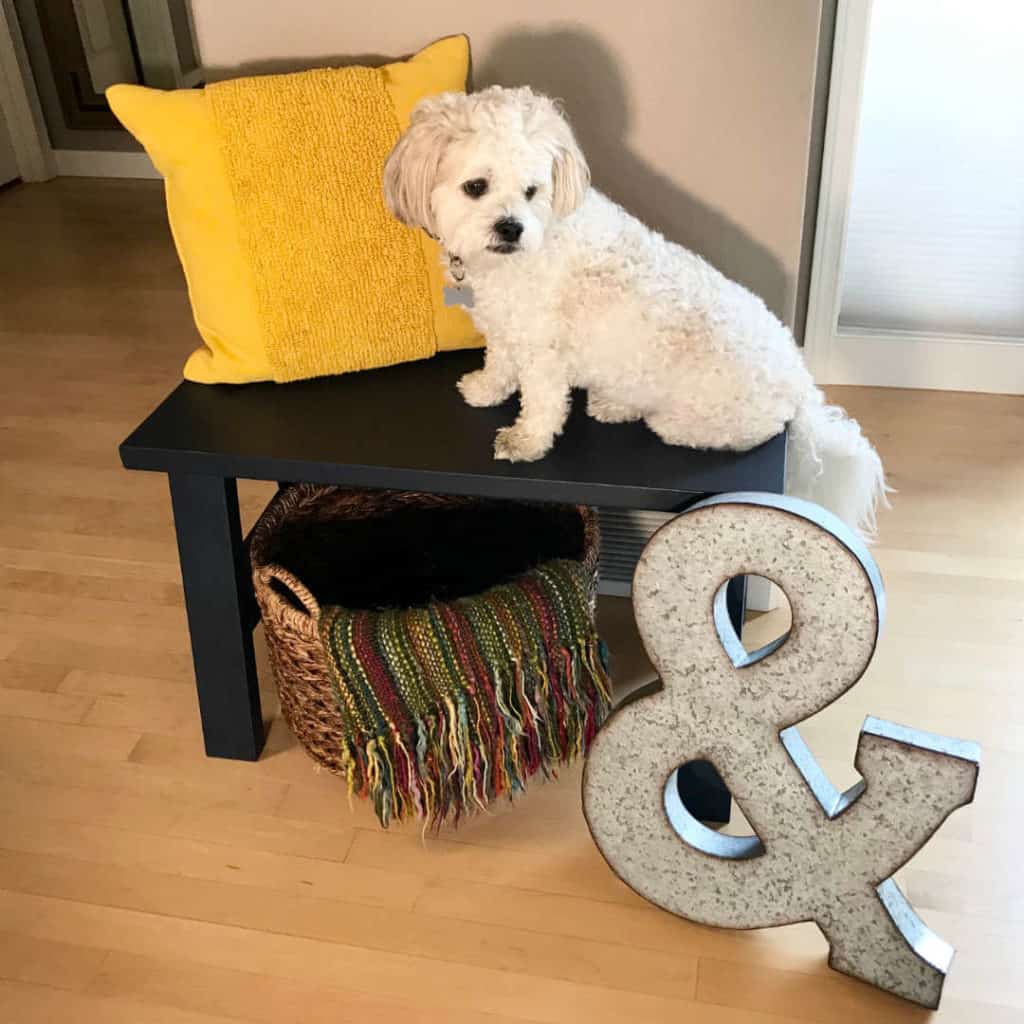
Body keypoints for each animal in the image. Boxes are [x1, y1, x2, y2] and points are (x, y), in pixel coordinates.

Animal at [385, 87, 888, 540]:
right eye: (476, 187)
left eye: (531, 191)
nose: (511, 227)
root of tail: (801, 383)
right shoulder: (509, 328)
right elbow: (499, 363)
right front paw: (486, 389)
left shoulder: (544, 350)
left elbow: (543, 404)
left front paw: (525, 441)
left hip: (692, 421)